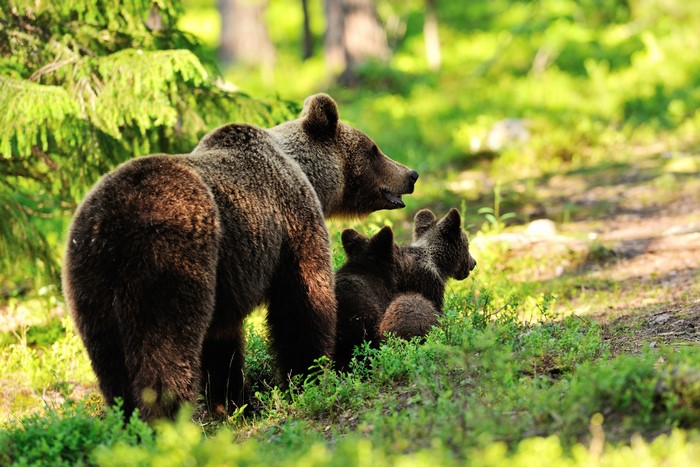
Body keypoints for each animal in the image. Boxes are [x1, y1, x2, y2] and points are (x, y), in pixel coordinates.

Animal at [61, 93, 419, 420]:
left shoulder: (229, 275)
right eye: (373, 149)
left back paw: (130, 421)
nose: (411, 173)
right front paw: (308, 376)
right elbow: (302, 305)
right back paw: (169, 419)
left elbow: (223, 341)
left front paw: (232, 403)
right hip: (170, 259)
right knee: (164, 347)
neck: (307, 174)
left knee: (109, 359)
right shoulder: (292, 222)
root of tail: (115, 222)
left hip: (90, 280)